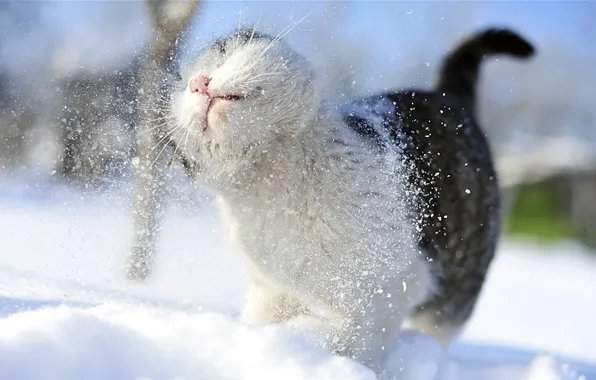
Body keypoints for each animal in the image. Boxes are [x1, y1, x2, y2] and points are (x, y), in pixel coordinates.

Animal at [164, 28, 536, 370]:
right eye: (182, 89)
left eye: (221, 54)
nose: (198, 83)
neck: (281, 185)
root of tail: (446, 95)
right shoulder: (272, 289)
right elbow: (264, 319)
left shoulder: (392, 290)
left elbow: (349, 339)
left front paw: (308, 347)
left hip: (454, 288)